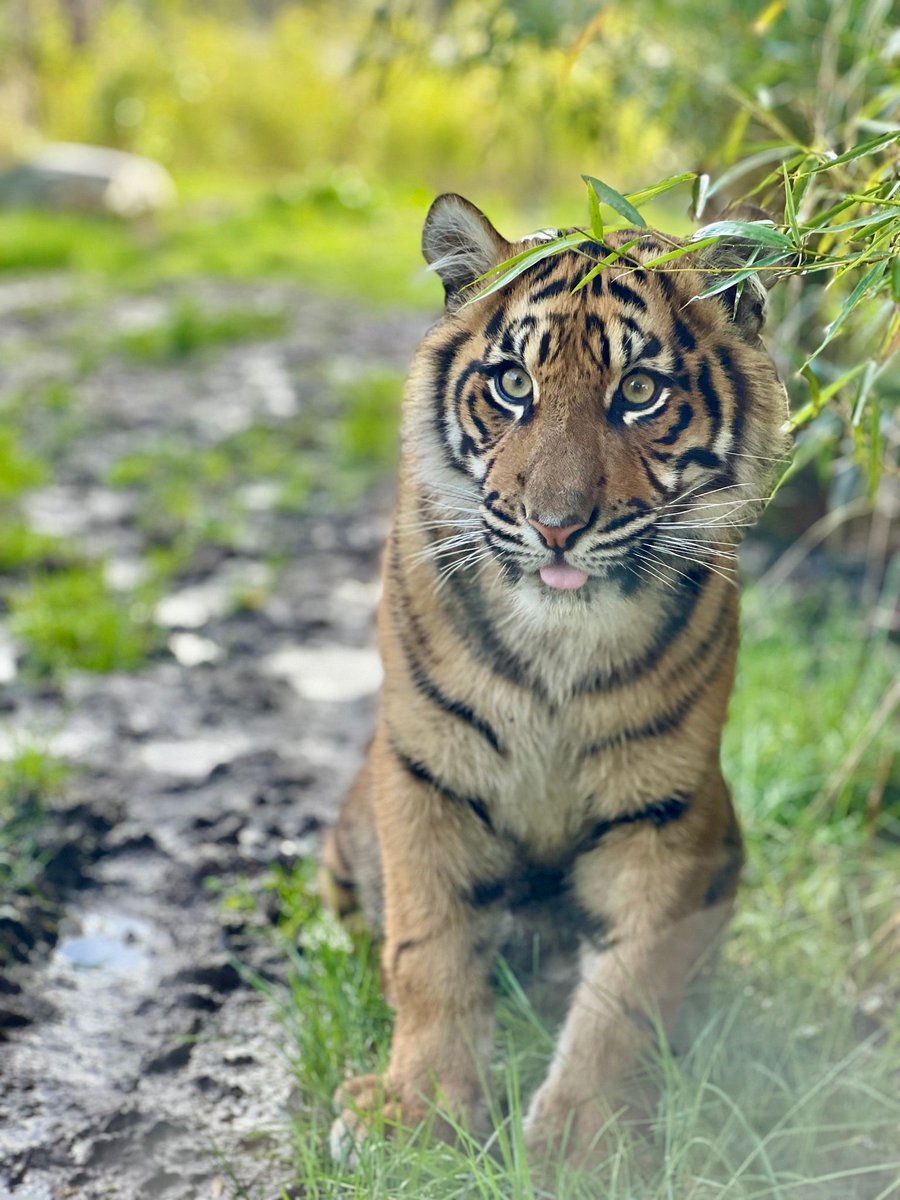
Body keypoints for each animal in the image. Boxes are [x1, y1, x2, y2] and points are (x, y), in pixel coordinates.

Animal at [321, 192, 787, 1166]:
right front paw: (417, 1110)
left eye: (639, 392)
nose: (556, 527)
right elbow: (428, 948)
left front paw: (587, 1137)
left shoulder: (664, 806)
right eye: (511, 385)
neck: (558, 642)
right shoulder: (424, 771)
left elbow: (628, 984)